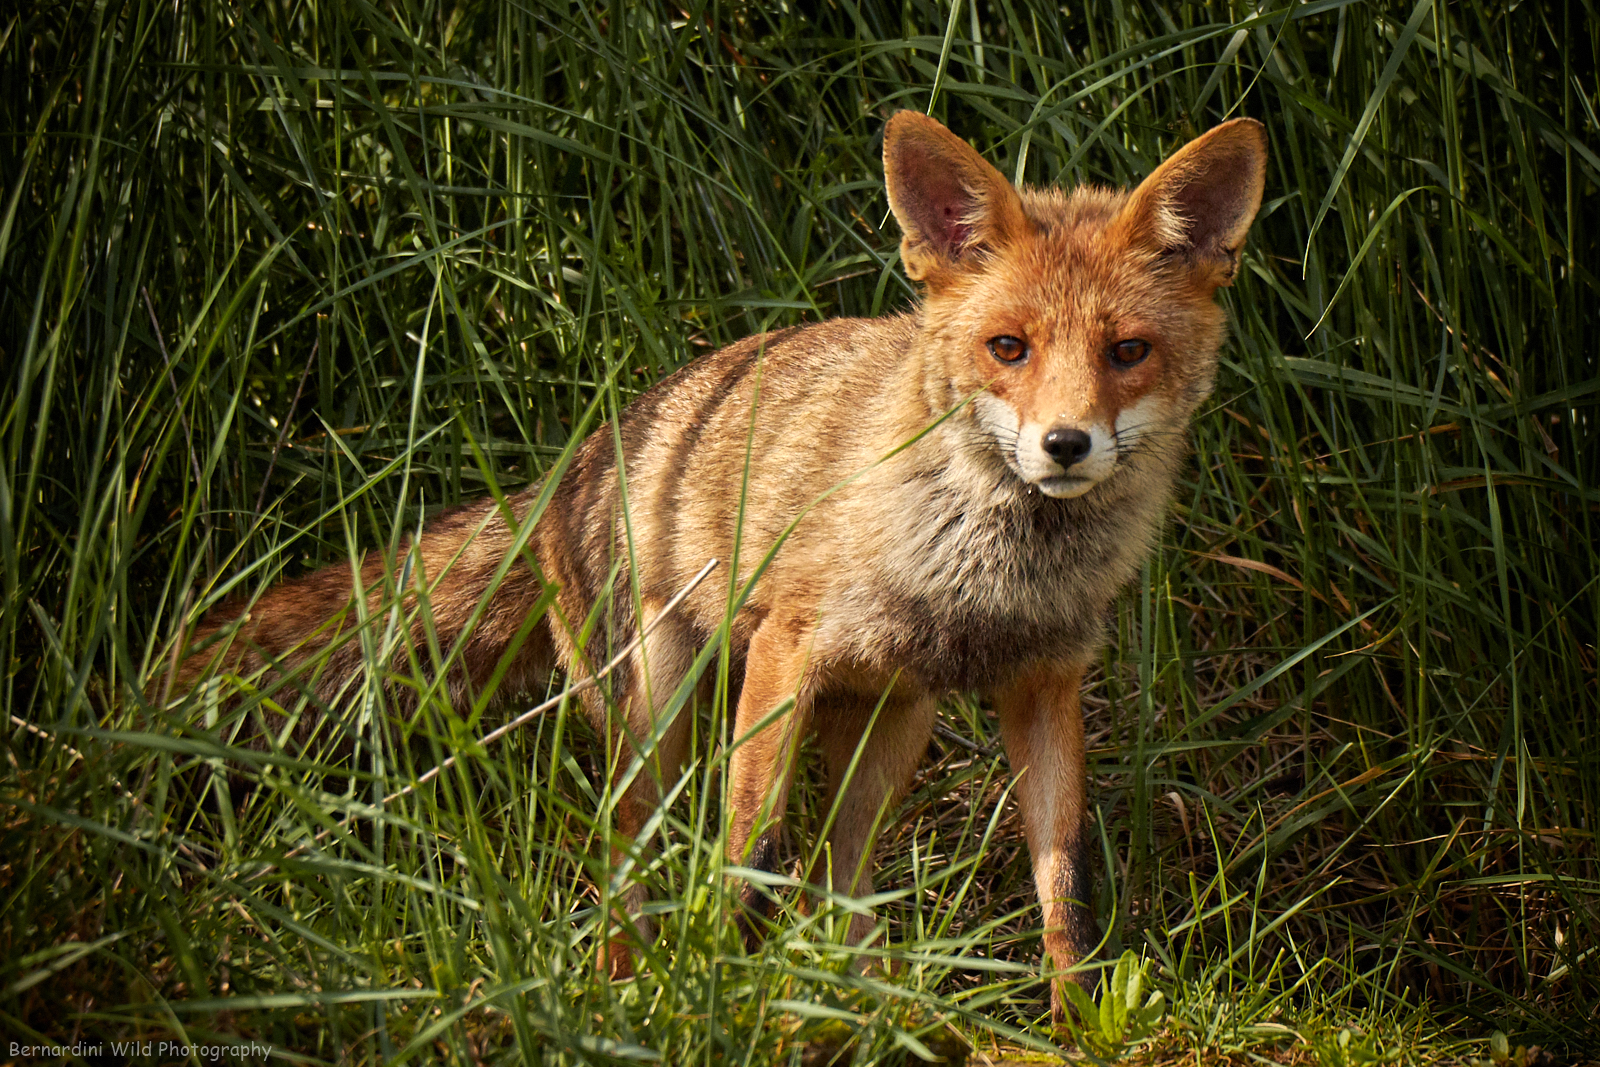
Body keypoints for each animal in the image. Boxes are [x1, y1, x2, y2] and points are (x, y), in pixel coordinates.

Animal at [166, 111, 1267, 1022]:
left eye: (1127, 351)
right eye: (1009, 347)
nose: (1065, 445)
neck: (990, 571)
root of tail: (576, 464)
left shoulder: (1044, 680)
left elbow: (1061, 889)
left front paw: (1074, 1023)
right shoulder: (785, 648)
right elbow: (747, 854)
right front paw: (718, 989)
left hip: (889, 724)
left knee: (843, 882)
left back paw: (876, 1009)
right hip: (657, 716)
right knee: (630, 862)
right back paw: (627, 989)